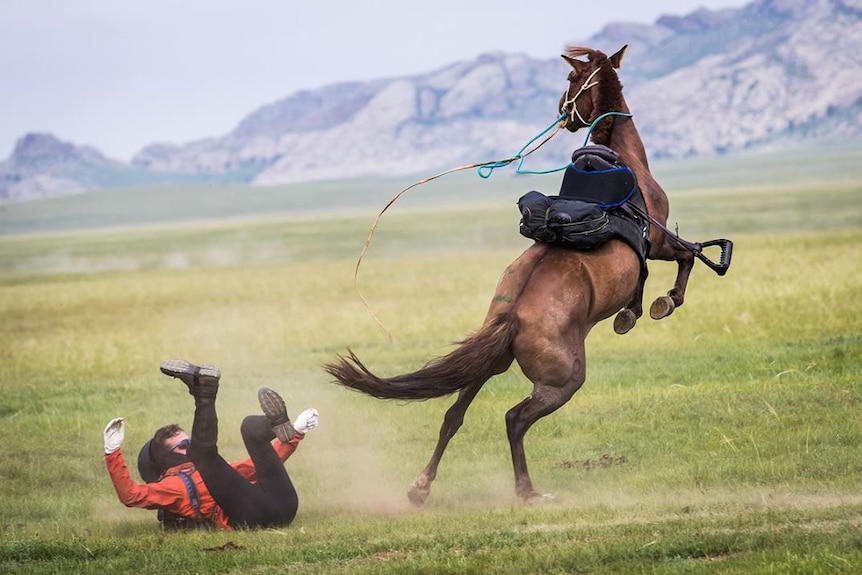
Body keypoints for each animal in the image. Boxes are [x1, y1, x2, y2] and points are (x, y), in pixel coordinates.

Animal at [326, 45, 716, 504]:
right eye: (571, 77)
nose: (562, 112)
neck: (625, 165)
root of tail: (511, 317)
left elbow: (647, 280)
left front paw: (631, 313)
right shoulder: (657, 241)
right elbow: (685, 260)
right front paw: (661, 303)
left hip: (490, 364)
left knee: (453, 415)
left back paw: (420, 488)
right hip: (562, 381)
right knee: (514, 418)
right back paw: (527, 491)